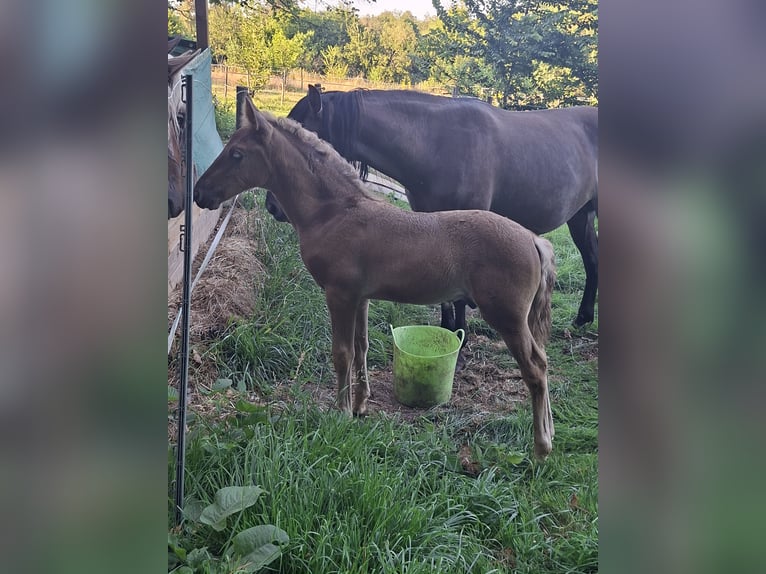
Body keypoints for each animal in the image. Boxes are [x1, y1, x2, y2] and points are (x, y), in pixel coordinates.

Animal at [194, 96, 558, 458]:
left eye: (237, 154)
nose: (200, 193)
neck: (335, 212)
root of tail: (533, 240)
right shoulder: (361, 298)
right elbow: (362, 347)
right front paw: (360, 406)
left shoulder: (339, 294)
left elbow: (342, 353)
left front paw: (340, 413)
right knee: (543, 361)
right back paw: (550, 432)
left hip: (507, 318)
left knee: (535, 369)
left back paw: (541, 447)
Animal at [267, 86, 597, 340]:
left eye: (301, 135)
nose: (273, 206)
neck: (438, 144)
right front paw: (448, 329)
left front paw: (460, 336)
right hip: (580, 215)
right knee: (592, 260)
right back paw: (583, 318)